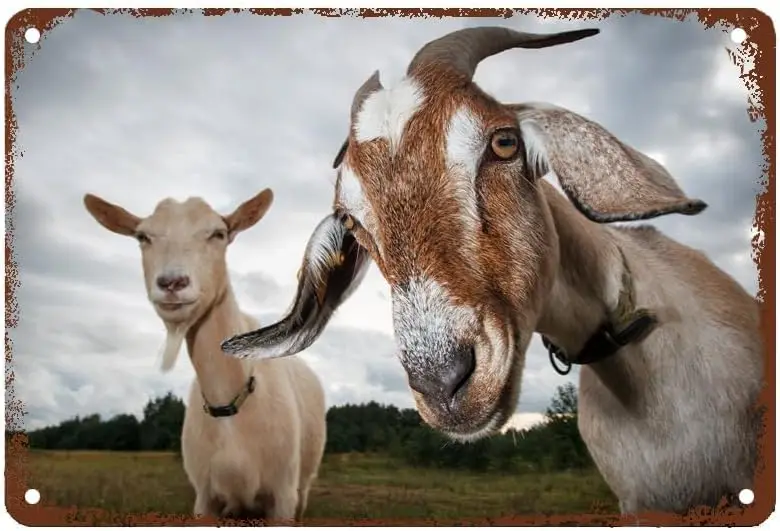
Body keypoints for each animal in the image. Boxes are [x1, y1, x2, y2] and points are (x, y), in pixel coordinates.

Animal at [83, 189, 327, 523]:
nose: (172, 282)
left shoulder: (282, 498)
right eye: (143, 236)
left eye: (218, 234)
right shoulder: (205, 498)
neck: (229, 403)